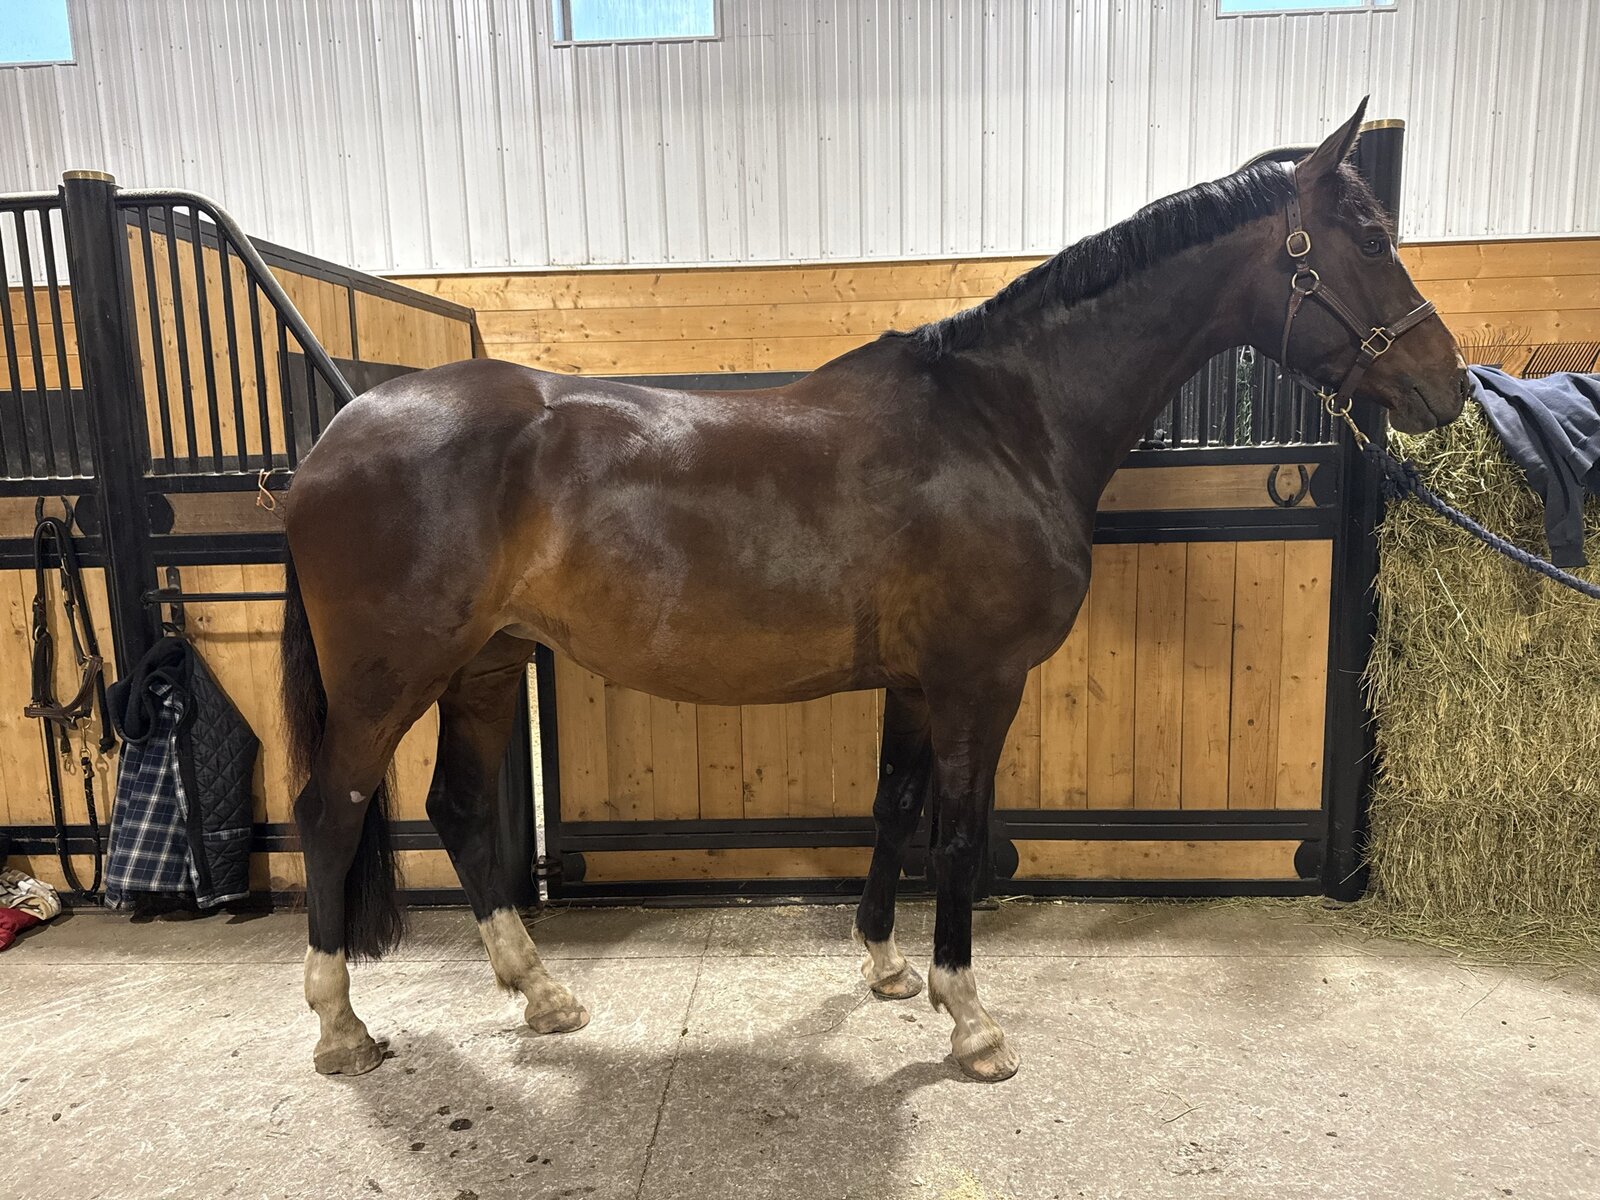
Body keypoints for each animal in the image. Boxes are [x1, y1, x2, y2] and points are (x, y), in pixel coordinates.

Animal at [282, 99, 1466, 1083]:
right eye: (1371, 240)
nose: (1447, 386)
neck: (1004, 421)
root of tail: (335, 437)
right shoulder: (979, 681)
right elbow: (958, 834)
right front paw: (971, 1021)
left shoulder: (914, 683)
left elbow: (894, 810)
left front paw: (887, 968)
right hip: (391, 677)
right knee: (333, 808)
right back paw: (342, 1028)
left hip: (483, 667)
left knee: (456, 807)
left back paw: (542, 994)